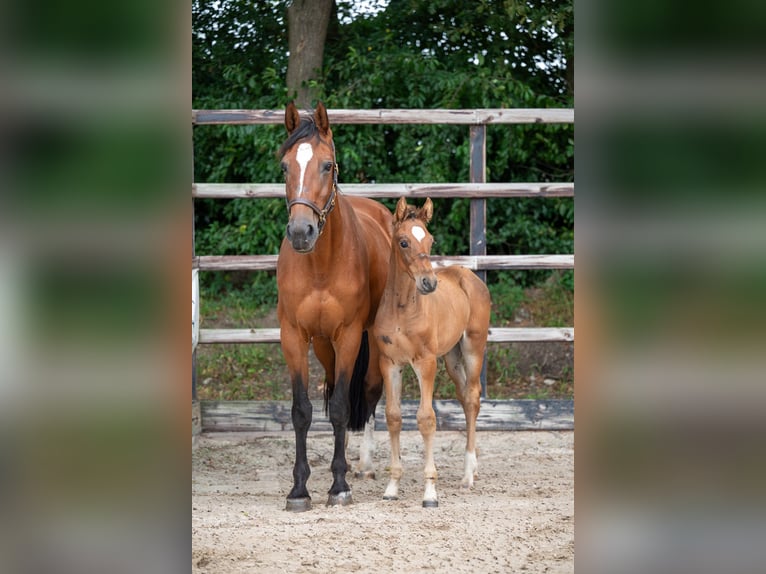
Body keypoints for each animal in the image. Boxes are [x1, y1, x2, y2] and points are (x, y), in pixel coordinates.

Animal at [276, 102, 392, 512]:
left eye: (327, 165)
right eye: (285, 166)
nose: (300, 232)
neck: (321, 265)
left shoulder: (349, 337)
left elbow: (342, 406)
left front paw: (339, 485)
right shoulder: (294, 337)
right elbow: (302, 411)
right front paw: (299, 489)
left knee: (372, 392)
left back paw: (366, 465)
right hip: (324, 346)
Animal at [374, 198, 492, 508]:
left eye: (430, 240)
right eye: (403, 242)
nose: (429, 283)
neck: (402, 309)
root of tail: (470, 275)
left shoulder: (425, 363)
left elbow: (426, 419)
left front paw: (430, 493)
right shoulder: (390, 363)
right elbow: (393, 416)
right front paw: (392, 487)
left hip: (473, 348)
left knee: (472, 397)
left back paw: (468, 474)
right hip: (451, 357)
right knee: (464, 397)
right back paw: (474, 467)